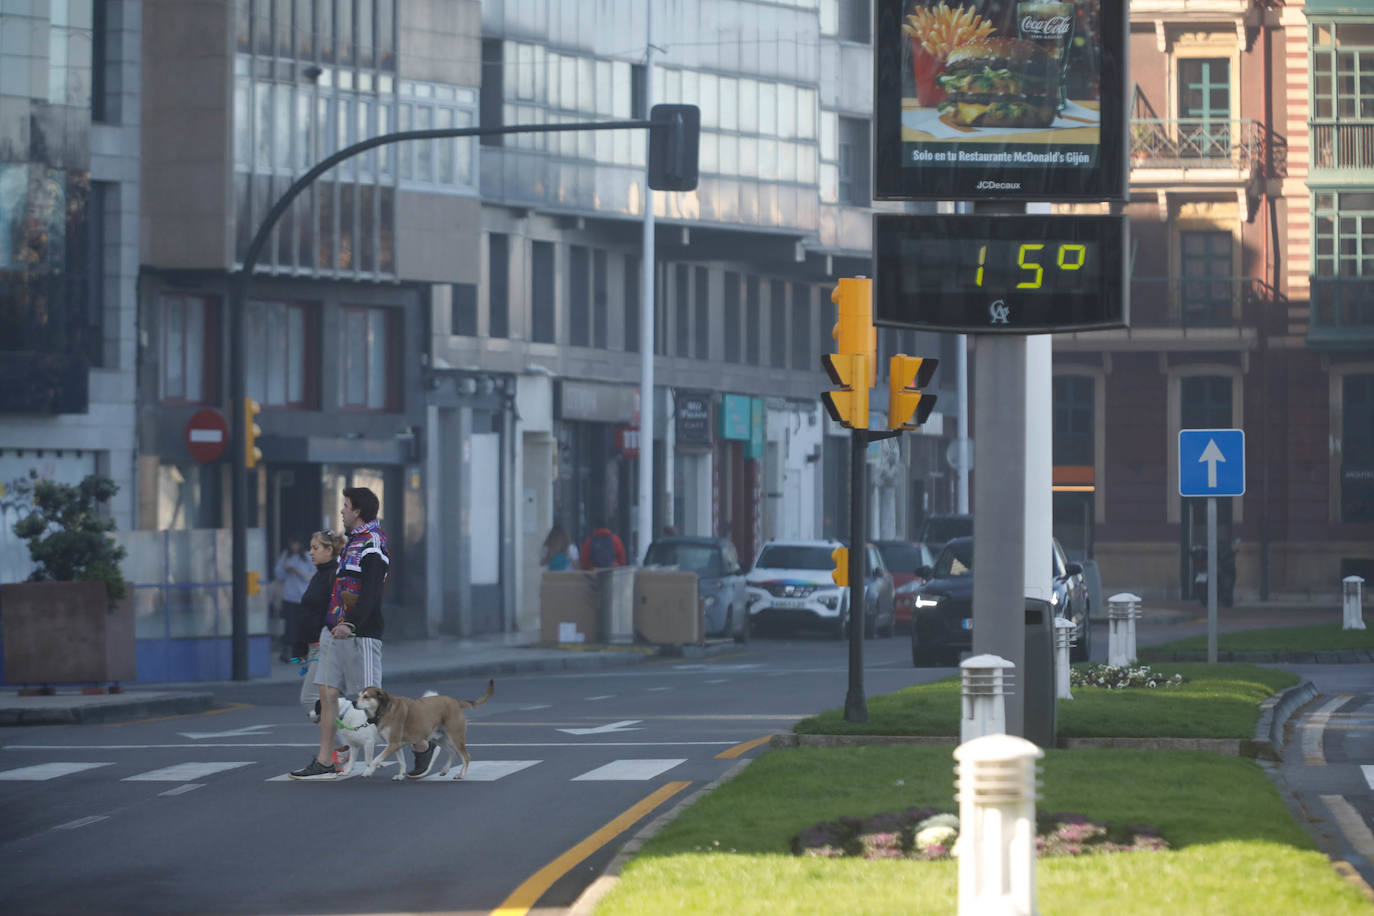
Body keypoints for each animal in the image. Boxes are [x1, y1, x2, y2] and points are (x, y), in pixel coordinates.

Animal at [354, 681, 494, 780]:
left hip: (456, 737)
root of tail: (456, 702)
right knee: (452, 753)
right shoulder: (395, 744)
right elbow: (401, 762)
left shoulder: (393, 744)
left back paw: (461, 775)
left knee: (466, 756)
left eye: (366, 696)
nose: (353, 702)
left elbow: (376, 759)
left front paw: (368, 771)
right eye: (358, 695)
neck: (384, 709)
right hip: (440, 738)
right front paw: (400, 775)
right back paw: (445, 770)